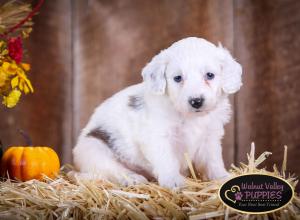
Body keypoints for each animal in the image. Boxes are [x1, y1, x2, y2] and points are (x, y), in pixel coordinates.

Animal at [72, 37, 241, 188]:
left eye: (210, 75)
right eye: (178, 78)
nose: (196, 101)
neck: (190, 116)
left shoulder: (210, 137)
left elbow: (213, 160)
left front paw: (221, 177)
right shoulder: (157, 137)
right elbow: (167, 160)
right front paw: (173, 180)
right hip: (94, 149)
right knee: (112, 170)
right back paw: (132, 178)